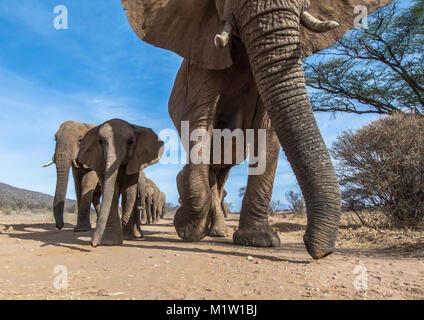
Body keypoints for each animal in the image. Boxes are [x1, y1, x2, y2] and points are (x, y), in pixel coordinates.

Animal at [121, 0, 390, 258]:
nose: (318, 250)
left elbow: (267, 130)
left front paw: (259, 241)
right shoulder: (200, 61)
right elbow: (200, 122)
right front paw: (187, 228)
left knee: (219, 176)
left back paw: (217, 232)